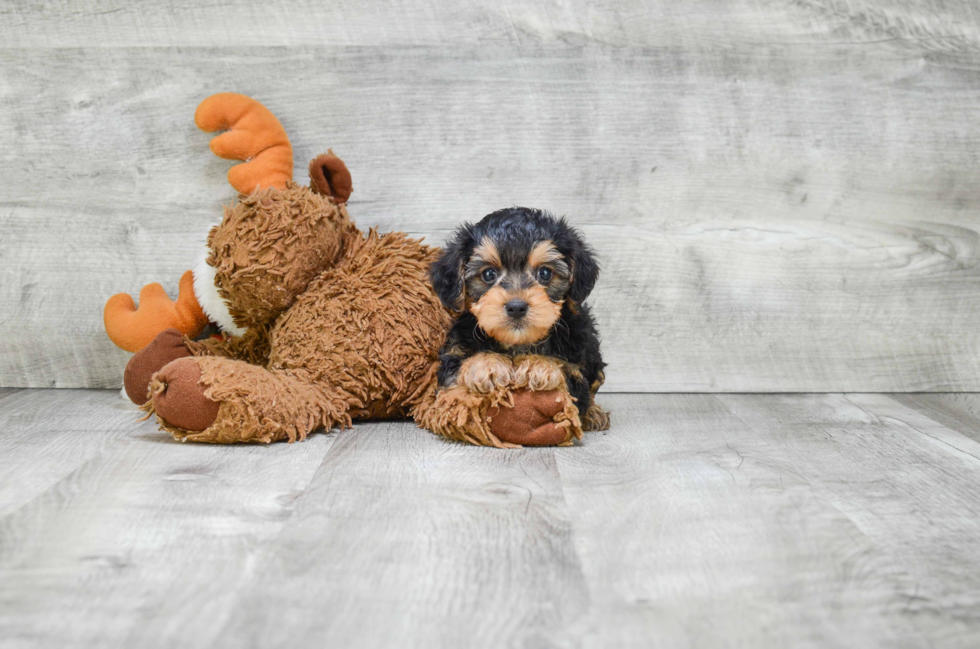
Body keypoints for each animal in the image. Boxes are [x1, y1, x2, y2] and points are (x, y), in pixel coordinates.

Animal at [428, 205, 604, 428]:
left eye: (545, 273)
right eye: (488, 274)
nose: (516, 307)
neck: (516, 344)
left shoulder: (578, 367)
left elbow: (570, 376)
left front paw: (538, 364)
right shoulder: (454, 352)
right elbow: (455, 374)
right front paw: (488, 364)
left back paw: (594, 413)